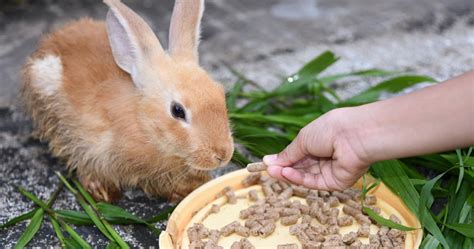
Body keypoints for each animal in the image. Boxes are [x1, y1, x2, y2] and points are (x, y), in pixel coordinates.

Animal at [20, 0, 235, 201]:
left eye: (220, 92)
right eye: (178, 111)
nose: (222, 155)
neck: (143, 122)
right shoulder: (88, 146)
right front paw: (102, 192)